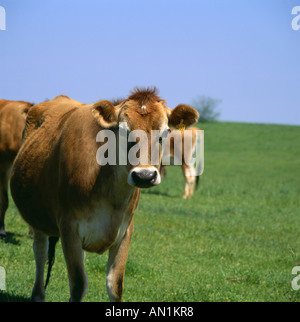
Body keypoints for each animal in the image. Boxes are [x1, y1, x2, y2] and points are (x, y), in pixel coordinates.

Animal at [9, 88, 199, 302]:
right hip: (37, 218)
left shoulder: (126, 231)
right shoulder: (69, 228)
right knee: (40, 253)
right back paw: (38, 294)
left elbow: (115, 285)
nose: (145, 176)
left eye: (165, 133)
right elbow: (78, 285)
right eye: (123, 132)